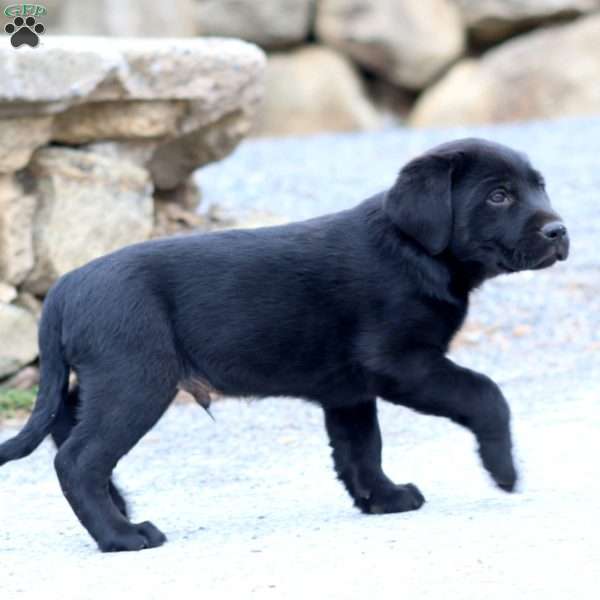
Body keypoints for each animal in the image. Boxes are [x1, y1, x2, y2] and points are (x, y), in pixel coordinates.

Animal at [2, 138, 568, 552]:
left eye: (539, 188)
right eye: (498, 196)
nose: (560, 231)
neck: (414, 250)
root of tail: (64, 287)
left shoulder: (349, 390)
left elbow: (362, 449)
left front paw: (383, 498)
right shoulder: (401, 362)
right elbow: (486, 394)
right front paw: (503, 470)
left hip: (100, 383)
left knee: (66, 429)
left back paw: (121, 510)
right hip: (136, 381)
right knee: (78, 460)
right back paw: (122, 536)